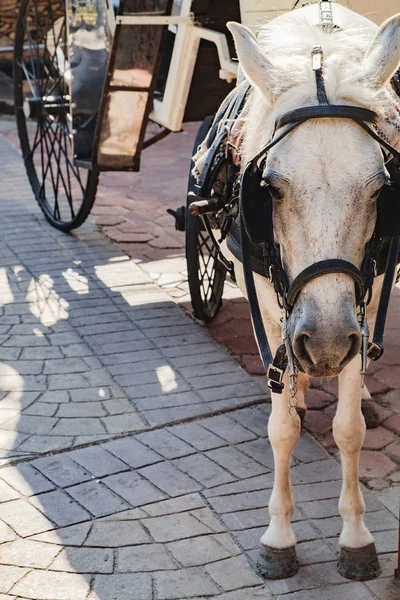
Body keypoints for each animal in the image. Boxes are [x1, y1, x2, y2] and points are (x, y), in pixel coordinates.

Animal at [217, 0, 398, 580]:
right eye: (269, 188)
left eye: (382, 189)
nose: (324, 345)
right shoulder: (271, 312)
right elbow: (282, 430)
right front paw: (278, 538)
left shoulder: (363, 305)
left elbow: (349, 430)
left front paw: (356, 537)